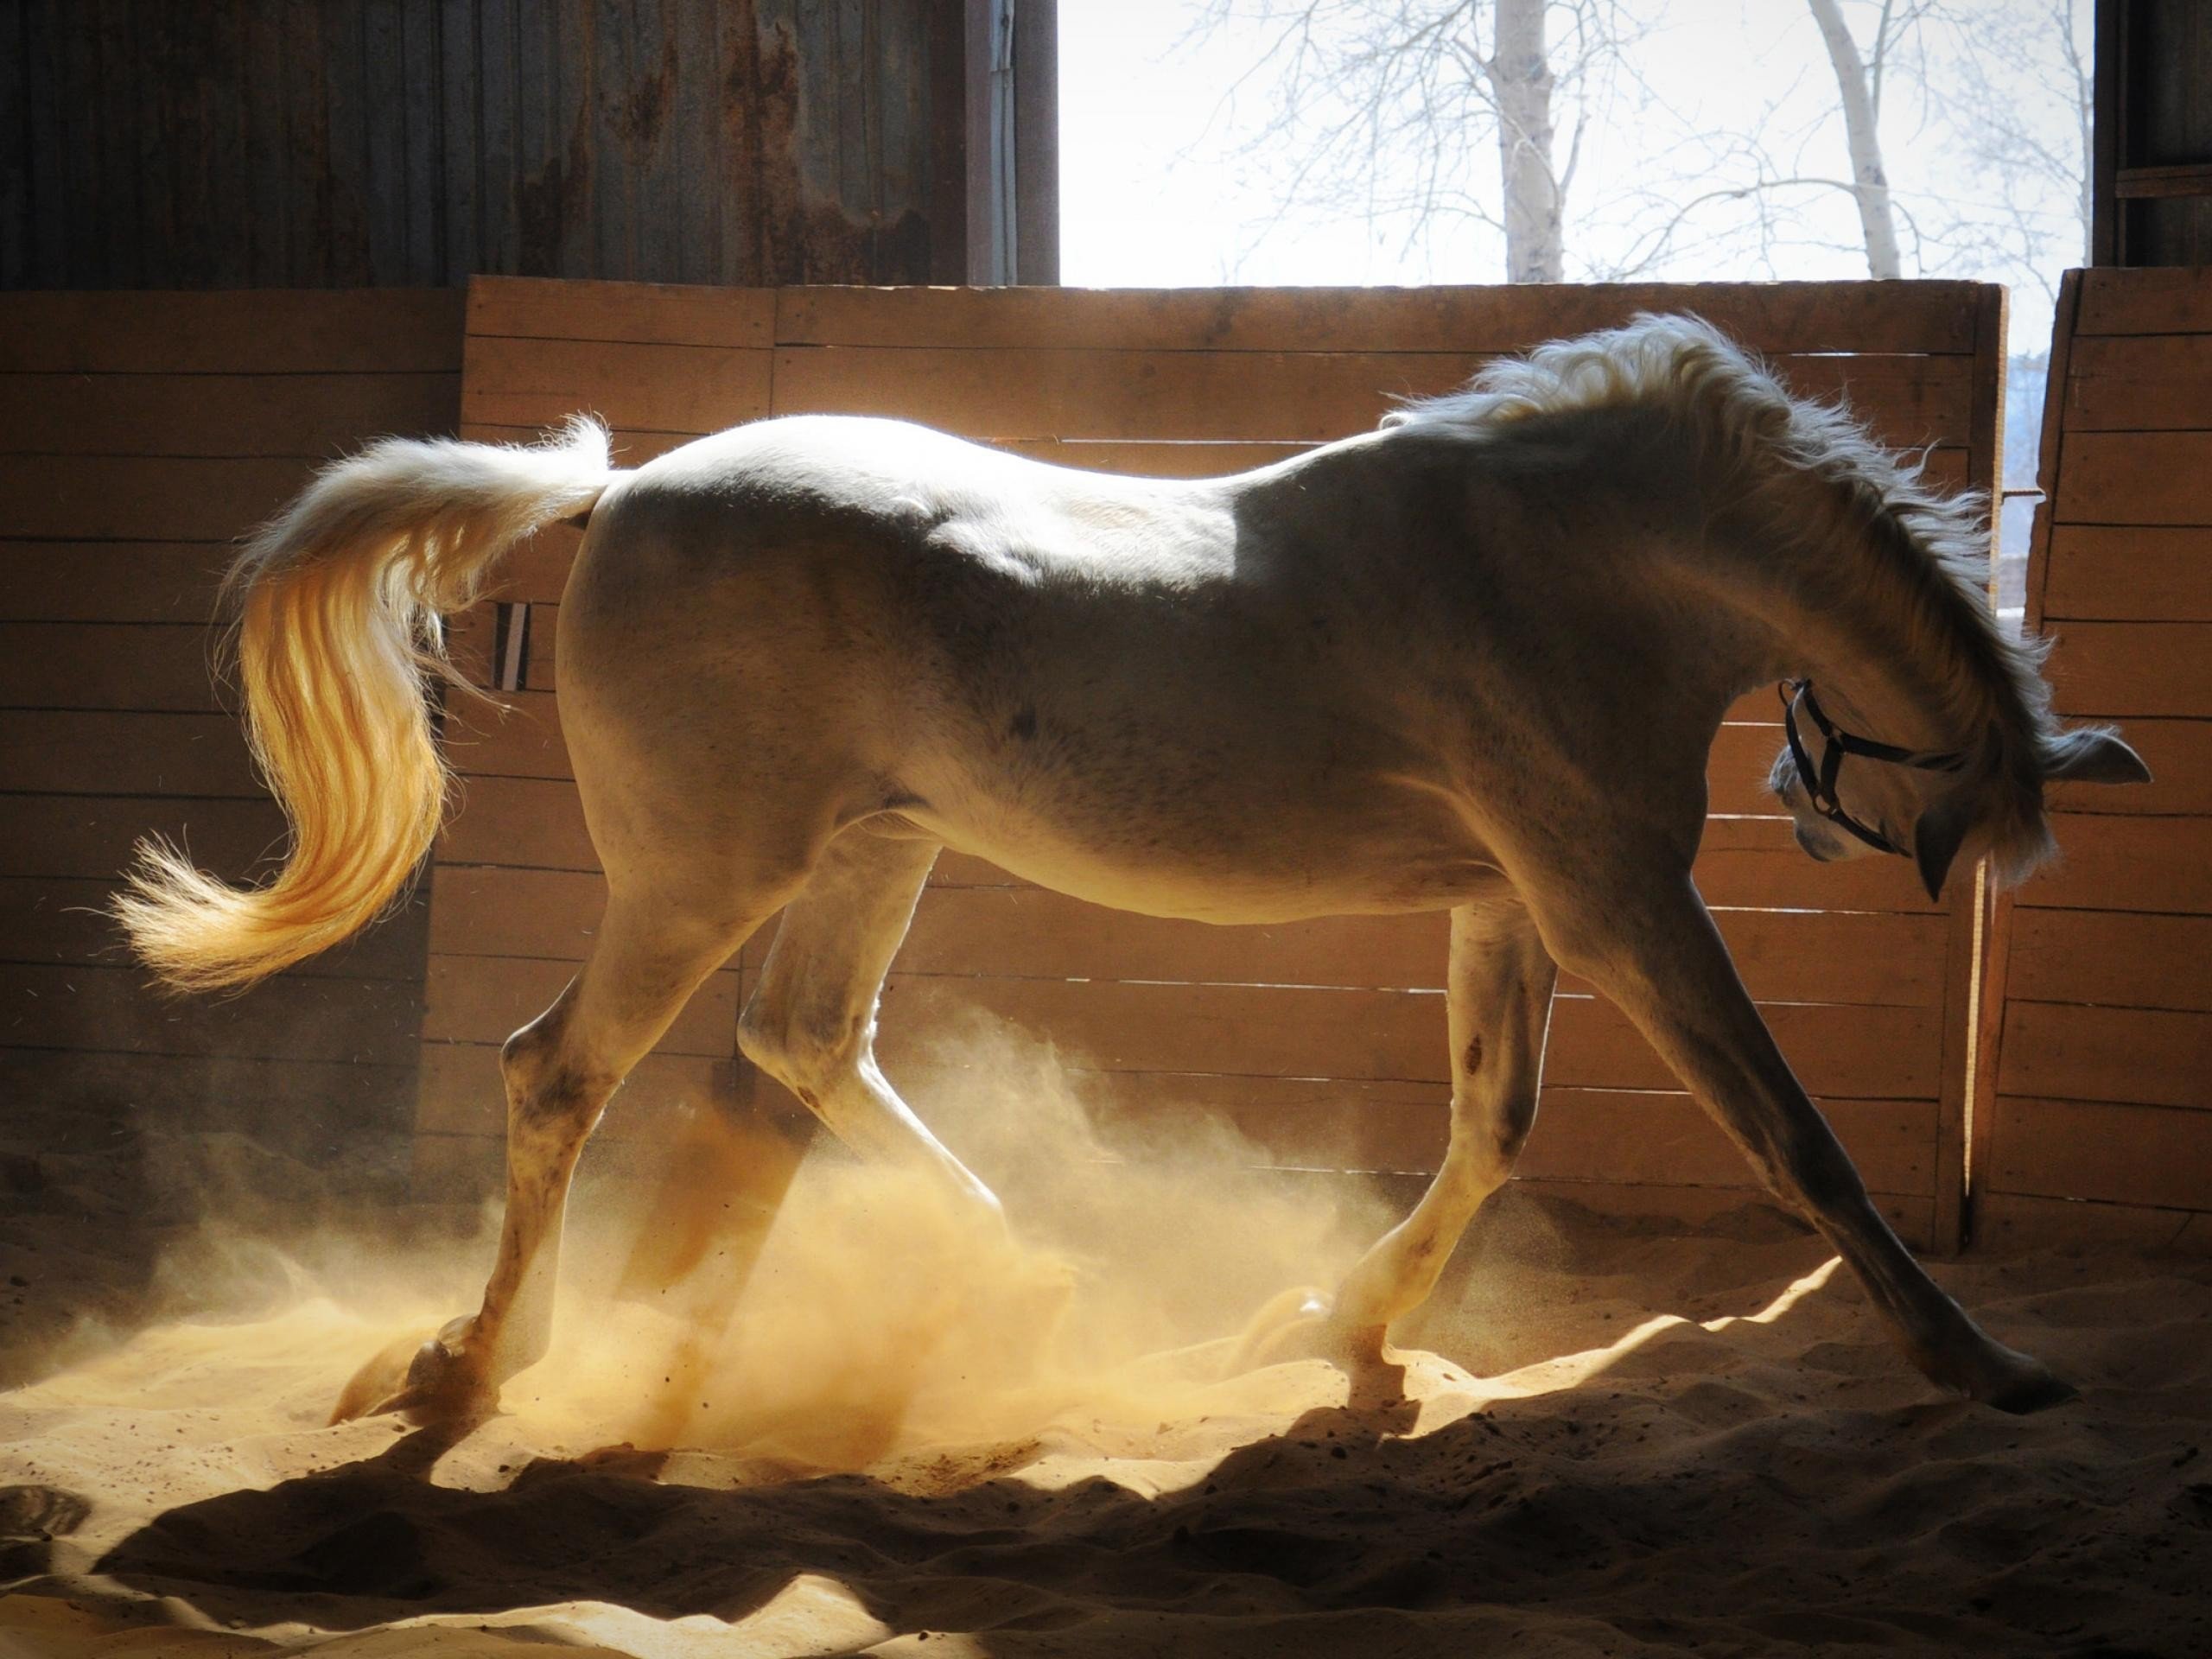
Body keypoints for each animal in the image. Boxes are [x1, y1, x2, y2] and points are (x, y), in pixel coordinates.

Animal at [117, 314, 2150, 1424]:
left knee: (804, 1046)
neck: (1563, 560)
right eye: (1939, 818)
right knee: (562, 1073)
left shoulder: (1511, 907)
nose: (1824, 816)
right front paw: (1984, 1364)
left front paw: (1334, 1327)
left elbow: (1489, 1130)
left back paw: (1021, 1280)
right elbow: (1795, 1143)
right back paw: (474, 1366)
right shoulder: (1618, 904)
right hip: (699, 878)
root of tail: (616, 495)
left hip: (872, 854)